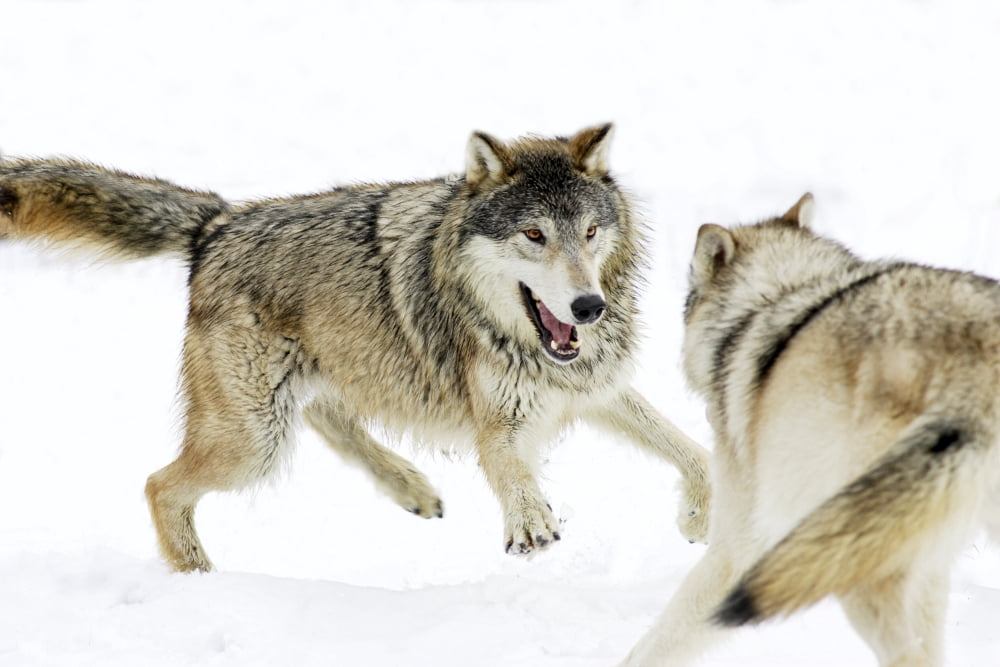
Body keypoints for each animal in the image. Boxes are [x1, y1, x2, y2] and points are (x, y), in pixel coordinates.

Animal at [0, 124, 711, 573]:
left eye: (589, 232)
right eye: (534, 234)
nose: (589, 307)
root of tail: (217, 225)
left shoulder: (595, 389)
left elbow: (696, 453)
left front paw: (698, 522)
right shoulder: (499, 426)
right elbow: (513, 475)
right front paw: (530, 524)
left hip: (297, 400)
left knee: (330, 416)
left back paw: (412, 489)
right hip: (255, 442)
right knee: (159, 485)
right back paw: (199, 578)